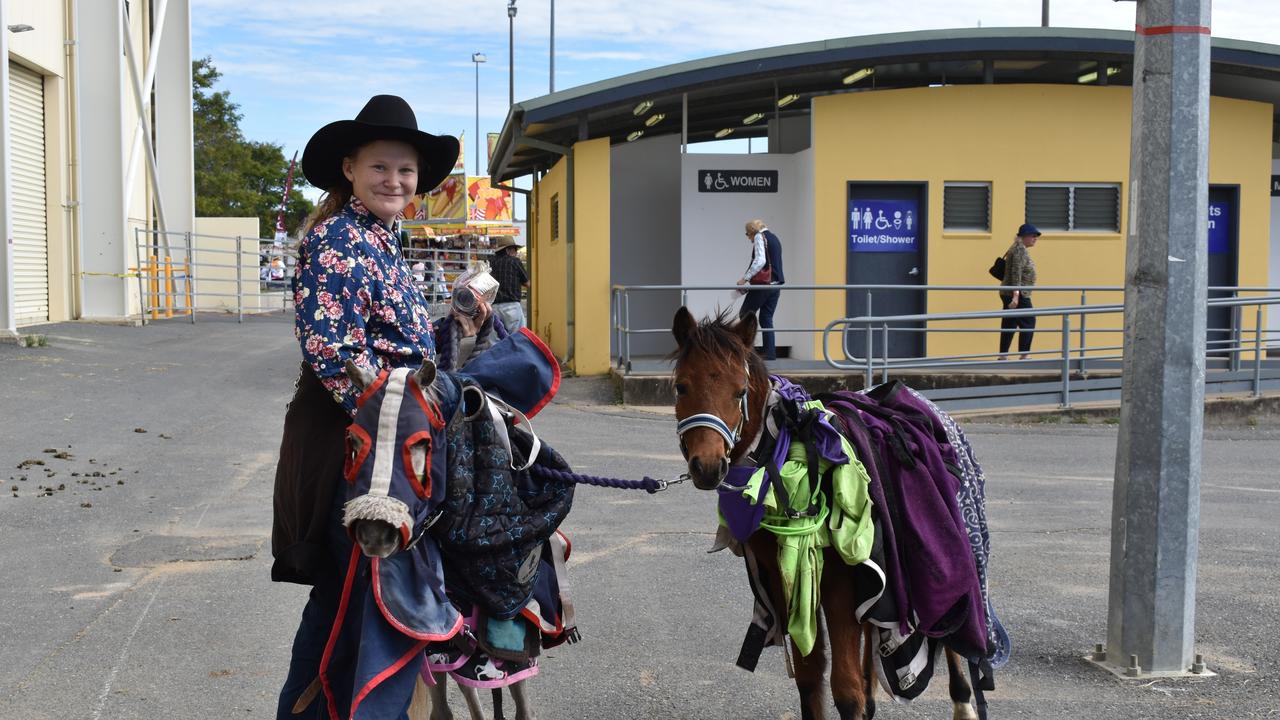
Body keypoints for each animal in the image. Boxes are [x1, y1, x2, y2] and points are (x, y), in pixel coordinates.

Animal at [670, 307, 977, 717]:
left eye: (740, 392)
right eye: (681, 387)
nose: (707, 466)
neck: (786, 452)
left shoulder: (840, 582)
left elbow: (845, 690)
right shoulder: (784, 578)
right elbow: (809, 675)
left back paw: (963, 700)